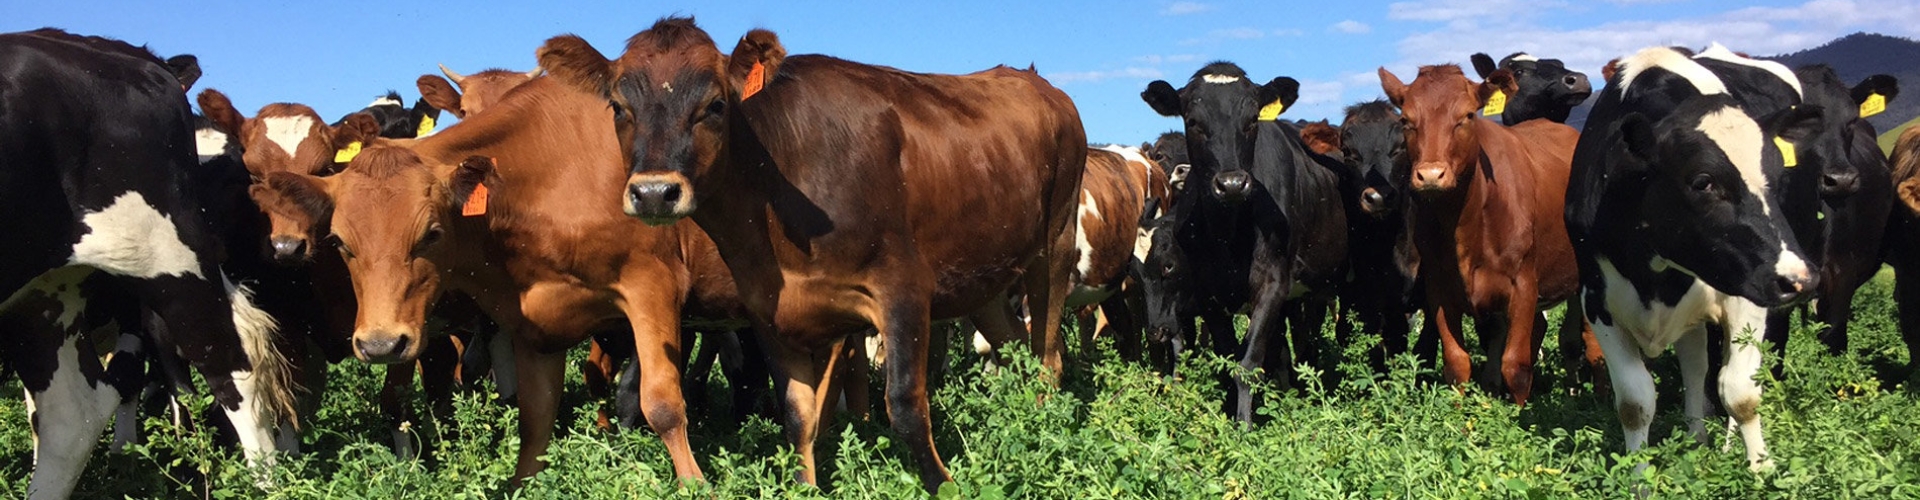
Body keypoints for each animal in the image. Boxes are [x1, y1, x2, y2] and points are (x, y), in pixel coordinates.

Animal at [534, 17, 1087, 491]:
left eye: (716, 104)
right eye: (618, 107)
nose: (653, 193)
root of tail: (1036, 81)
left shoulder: (905, 290)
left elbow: (906, 405)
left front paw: (945, 485)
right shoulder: (770, 312)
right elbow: (798, 414)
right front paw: (806, 485)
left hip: (1055, 247)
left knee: (1048, 354)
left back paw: (1042, 425)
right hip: (984, 276)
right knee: (1015, 346)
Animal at [1138, 63, 1350, 423]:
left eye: (1252, 120)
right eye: (1192, 120)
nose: (1232, 183)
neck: (1230, 233)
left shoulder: (1272, 283)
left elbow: (1248, 362)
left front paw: (1244, 424)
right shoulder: (1208, 294)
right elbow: (1227, 356)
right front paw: (1228, 413)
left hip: (1321, 286)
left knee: (1306, 337)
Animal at [1378, 64, 1582, 406]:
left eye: (1468, 115)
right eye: (1406, 120)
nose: (1430, 175)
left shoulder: (1523, 285)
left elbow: (1516, 366)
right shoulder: (1439, 290)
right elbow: (1457, 363)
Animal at [1567, 45, 1822, 474]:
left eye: (1777, 178)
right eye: (1703, 181)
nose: (1800, 279)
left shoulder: (1747, 292)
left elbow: (1740, 392)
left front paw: (1761, 470)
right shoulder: (1598, 301)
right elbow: (1636, 403)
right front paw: (1638, 477)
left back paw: (1726, 444)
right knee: (1695, 363)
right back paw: (1696, 437)